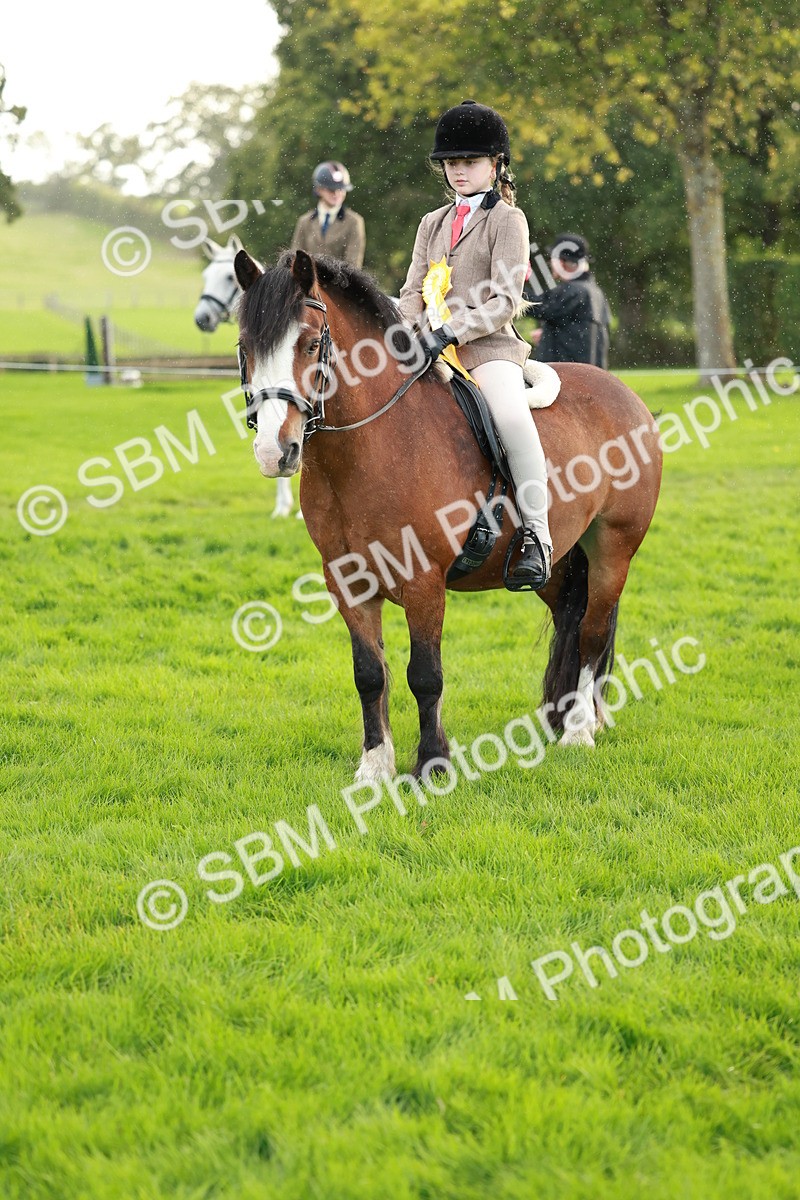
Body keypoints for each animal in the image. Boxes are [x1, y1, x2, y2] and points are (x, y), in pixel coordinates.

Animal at [234, 246, 663, 781]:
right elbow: (368, 674)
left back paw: (580, 730)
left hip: (613, 549)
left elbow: (425, 675)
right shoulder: (347, 582)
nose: (276, 452)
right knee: (569, 616)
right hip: (559, 560)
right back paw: (560, 720)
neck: (371, 447)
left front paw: (433, 765)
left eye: (312, 344)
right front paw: (374, 767)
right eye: (245, 348)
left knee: (592, 632)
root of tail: (624, 394)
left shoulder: (424, 582)